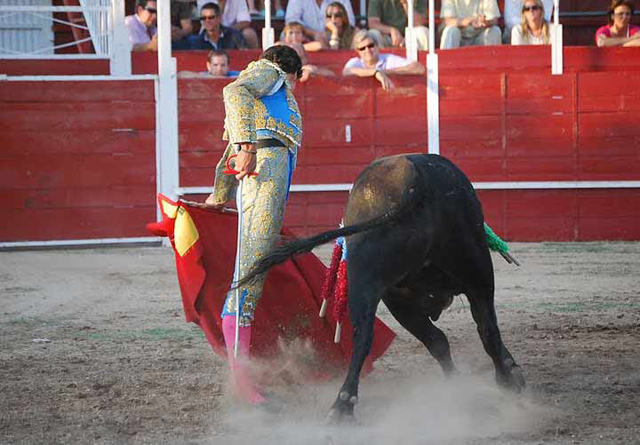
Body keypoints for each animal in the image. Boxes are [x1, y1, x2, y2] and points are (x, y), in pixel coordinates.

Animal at [240, 154, 524, 418]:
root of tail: (413, 179)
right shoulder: (408, 300)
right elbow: (446, 338)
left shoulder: (397, 300)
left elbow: (436, 340)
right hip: (476, 268)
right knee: (487, 329)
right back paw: (507, 381)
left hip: (367, 279)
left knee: (363, 337)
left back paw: (342, 406)